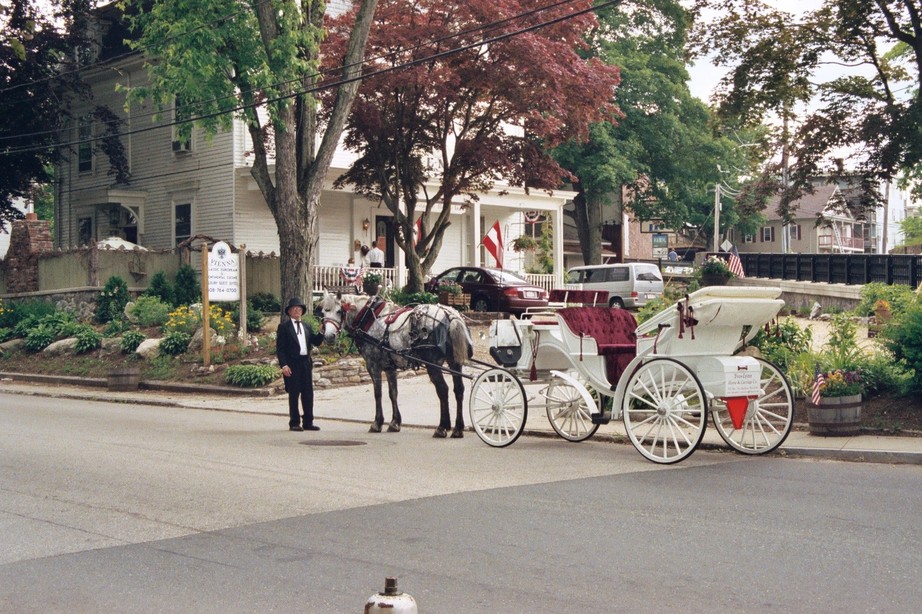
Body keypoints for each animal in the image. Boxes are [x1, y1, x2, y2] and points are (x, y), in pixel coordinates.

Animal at [318, 294, 474, 438]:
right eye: (324, 312)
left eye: (339, 311)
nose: (329, 336)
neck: (369, 318)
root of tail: (449, 315)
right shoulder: (390, 367)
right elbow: (393, 393)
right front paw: (395, 423)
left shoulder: (372, 365)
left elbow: (378, 394)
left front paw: (377, 423)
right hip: (454, 362)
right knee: (459, 390)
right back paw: (458, 428)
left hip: (433, 365)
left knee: (443, 390)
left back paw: (442, 427)